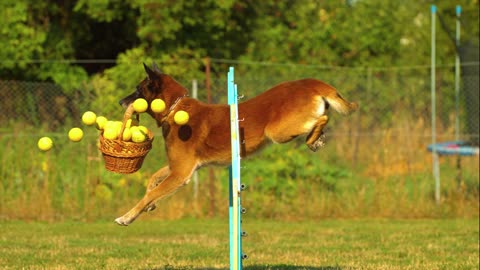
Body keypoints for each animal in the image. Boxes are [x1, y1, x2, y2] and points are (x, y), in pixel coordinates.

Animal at [115, 63, 356, 226]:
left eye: (138, 90)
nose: (120, 102)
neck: (176, 108)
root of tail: (312, 83)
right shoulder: (180, 168)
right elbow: (152, 181)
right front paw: (150, 205)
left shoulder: (180, 173)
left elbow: (150, 193)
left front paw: (127, 216)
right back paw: (317, 139)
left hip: (277, 132)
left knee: (321, 118)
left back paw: (313, 139)